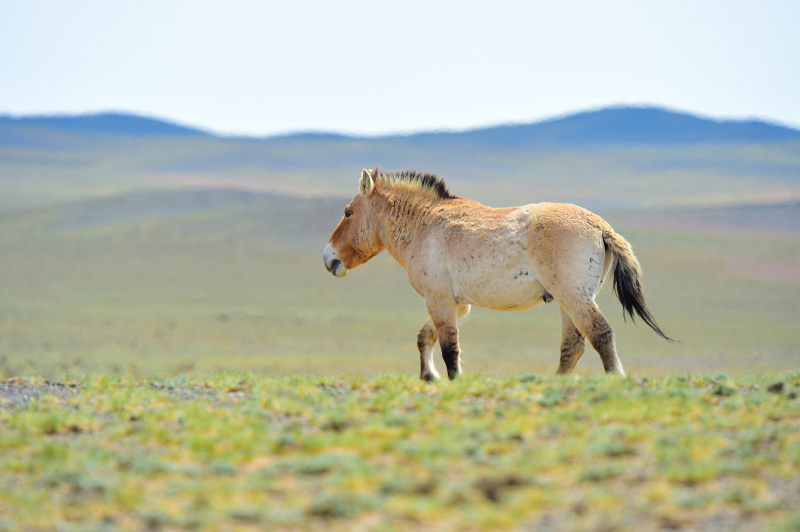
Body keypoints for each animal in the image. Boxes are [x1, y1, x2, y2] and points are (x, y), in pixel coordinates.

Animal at [323, 168, 672, 380]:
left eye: (348, 212)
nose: (328, 258)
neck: (425, 224)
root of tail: (600, 227)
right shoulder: (457, 304)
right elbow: (426, 337)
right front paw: (428, 377)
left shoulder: (439, 301)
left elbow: (450, 349)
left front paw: (450, 381)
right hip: (569, 300)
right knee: (573, 346)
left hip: (573, 297)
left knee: (599, 334)